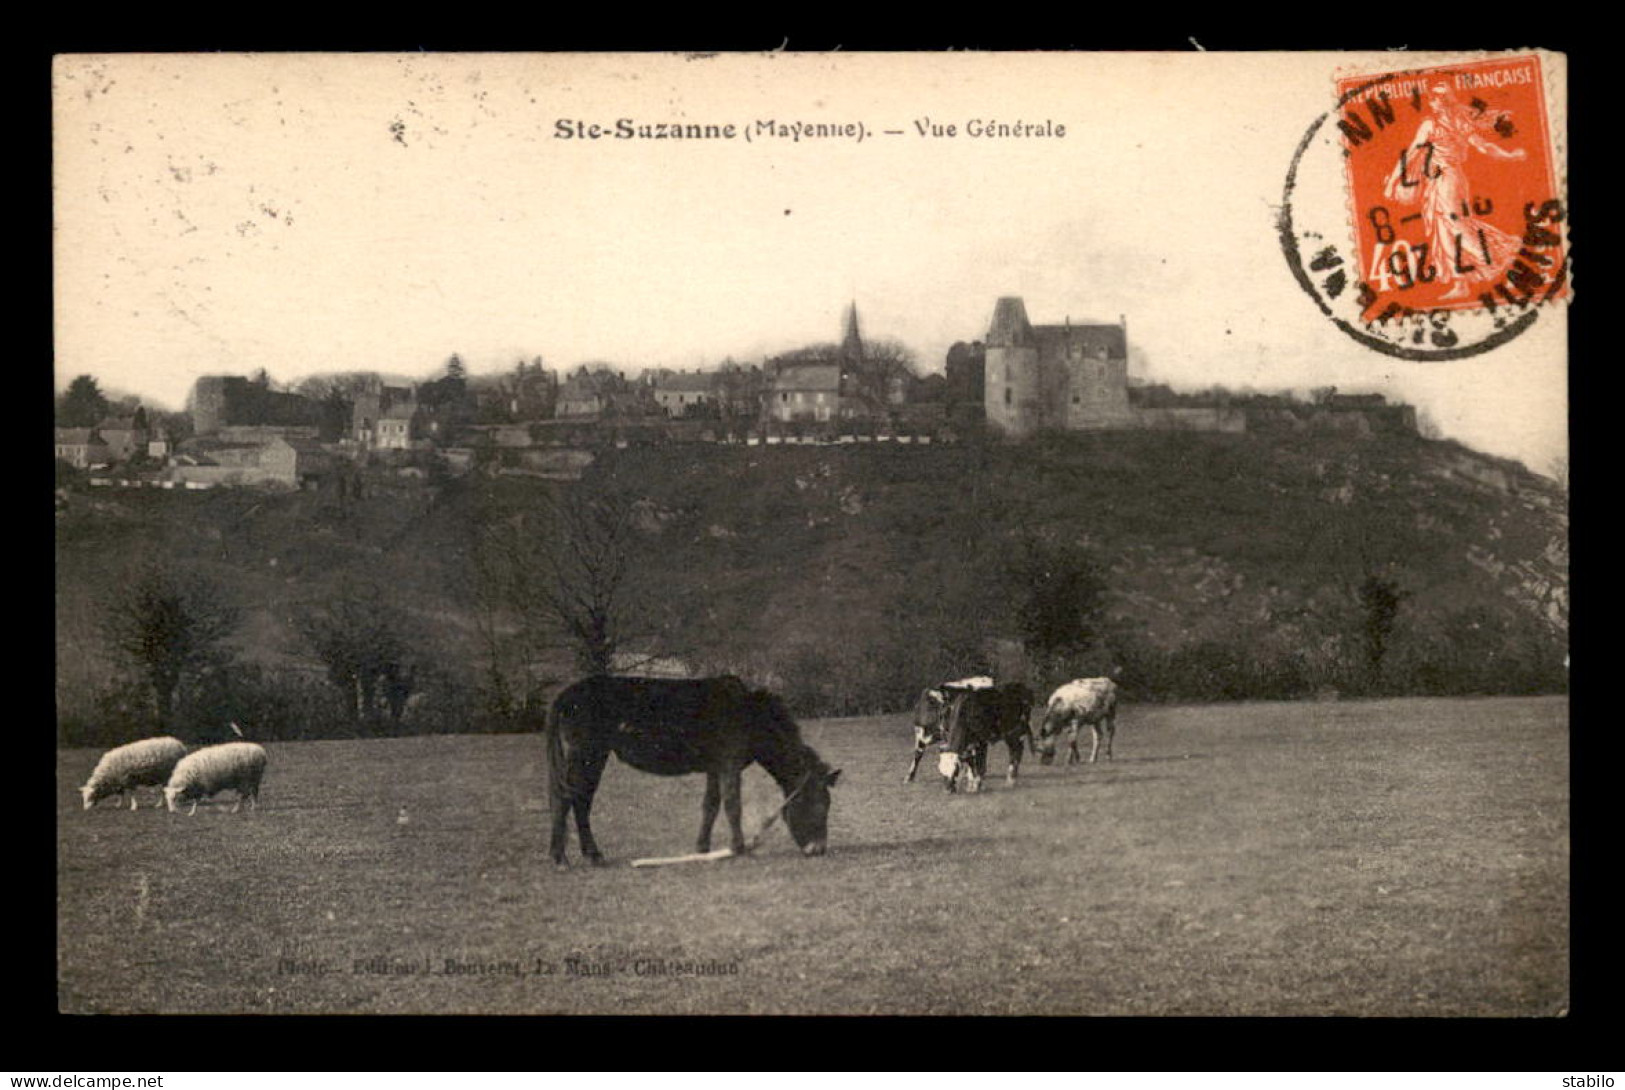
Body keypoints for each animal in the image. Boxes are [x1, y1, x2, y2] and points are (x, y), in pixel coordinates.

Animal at [552, 679, 845, 864]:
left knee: (580, 800)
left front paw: (702, 849)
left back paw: (585, 854)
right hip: (587, 755)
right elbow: (732, 805)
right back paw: (565, 857)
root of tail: (567, 694)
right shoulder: (729, 765)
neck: (750, 716)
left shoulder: (715, 768)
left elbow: (711, 805)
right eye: (819, 805)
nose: (818, 850)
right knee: (570, 799)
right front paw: (738, 848)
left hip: (593, 757)